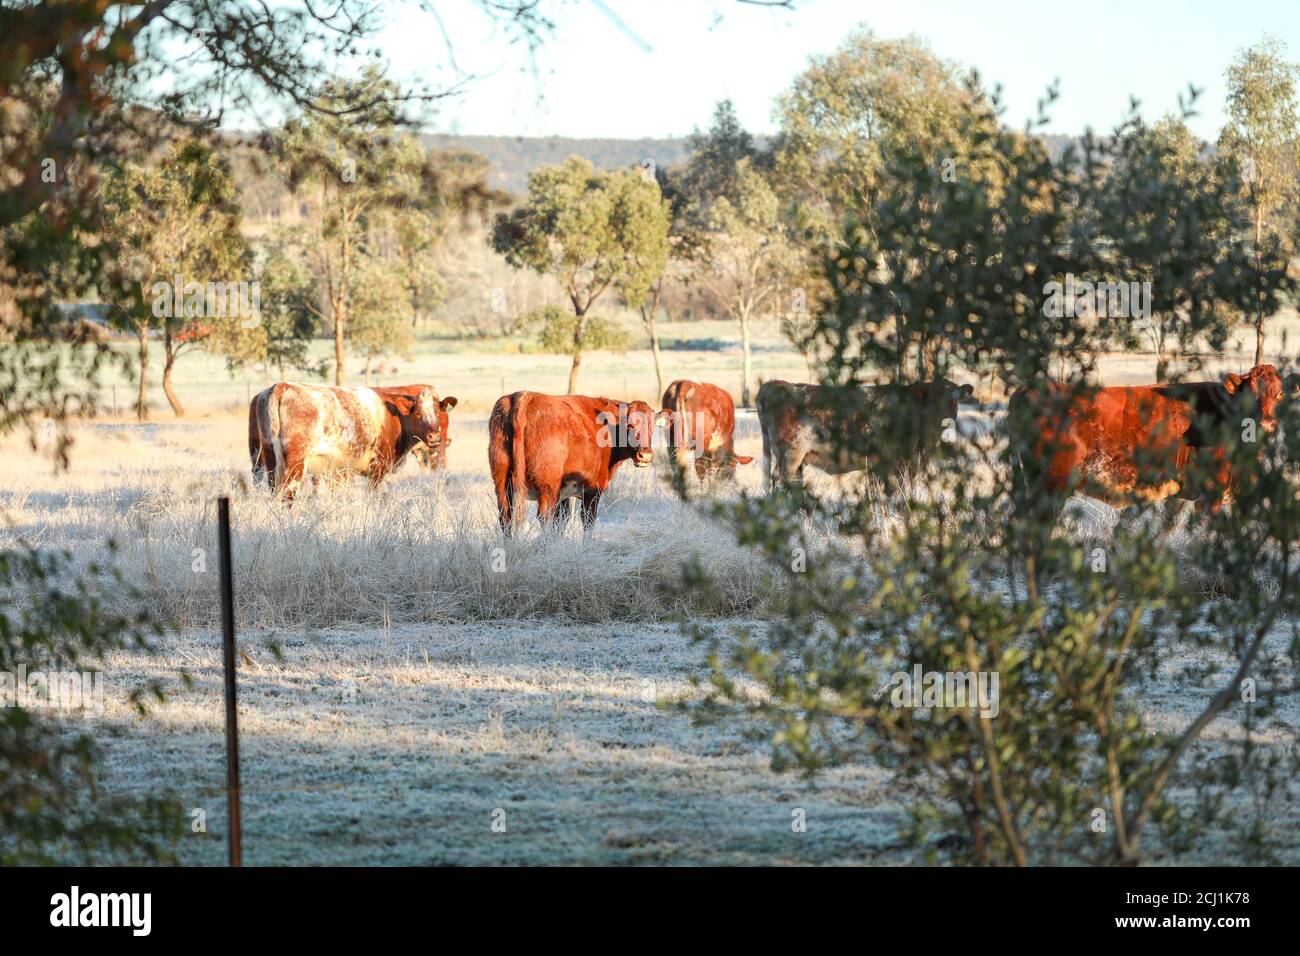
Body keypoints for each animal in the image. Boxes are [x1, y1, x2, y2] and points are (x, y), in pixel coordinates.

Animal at [249, 382, 458, 500]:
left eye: (438, 411)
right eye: (417, 413)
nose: (434, 436)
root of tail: (283, 385)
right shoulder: (377, 468)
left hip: (269, 460)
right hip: (294, 465)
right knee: (287, 496)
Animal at [488, 391, 666, 530]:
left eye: (652, 427)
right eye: (629, 425)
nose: (645, 455)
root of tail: (524, 396)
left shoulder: (563, 495)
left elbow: (561, 522)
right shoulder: (593, 489)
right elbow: (588, 521)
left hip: (502, 482)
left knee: (505, 518)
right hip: (547, 487)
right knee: (544, 517)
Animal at [756, 378, 974, 489]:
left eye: (954, 401)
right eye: (932, 399)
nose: (944, 419)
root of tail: (775, 384)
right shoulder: (903, 461)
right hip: (790, 455)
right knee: (780, 481)